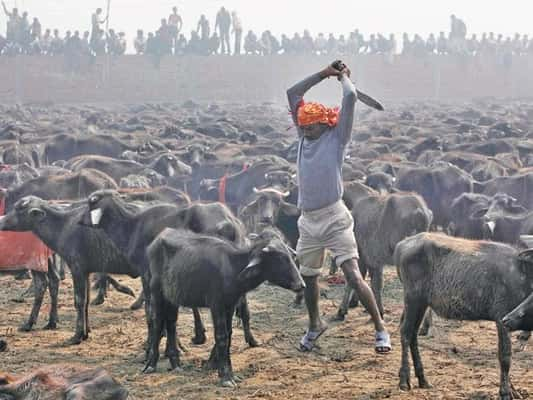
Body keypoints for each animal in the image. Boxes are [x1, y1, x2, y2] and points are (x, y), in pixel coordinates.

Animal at [144, 228, 304, 388]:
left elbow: (229, 333)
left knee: (171, 323)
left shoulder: (230, 305)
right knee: (157, 323)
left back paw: (176, 363)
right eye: (280, 258)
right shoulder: (217, 305)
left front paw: (228, 372)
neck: (233, 268)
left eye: (291, 256)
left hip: (172, 297)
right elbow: (221, 336)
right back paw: (151, 364)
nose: (301, 284)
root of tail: (157, 240)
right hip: (156, 291)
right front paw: (226, 376)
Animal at [394, 233, 532, 398]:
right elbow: (505, 356)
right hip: (413, 299)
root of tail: (402, 244)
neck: (522, 272)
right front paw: (505, 392)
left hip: (421, 303)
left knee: (413, 334)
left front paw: (513, 390)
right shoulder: (502, 318)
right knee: (406, 332)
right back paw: (404, 380)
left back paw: (423, 380)